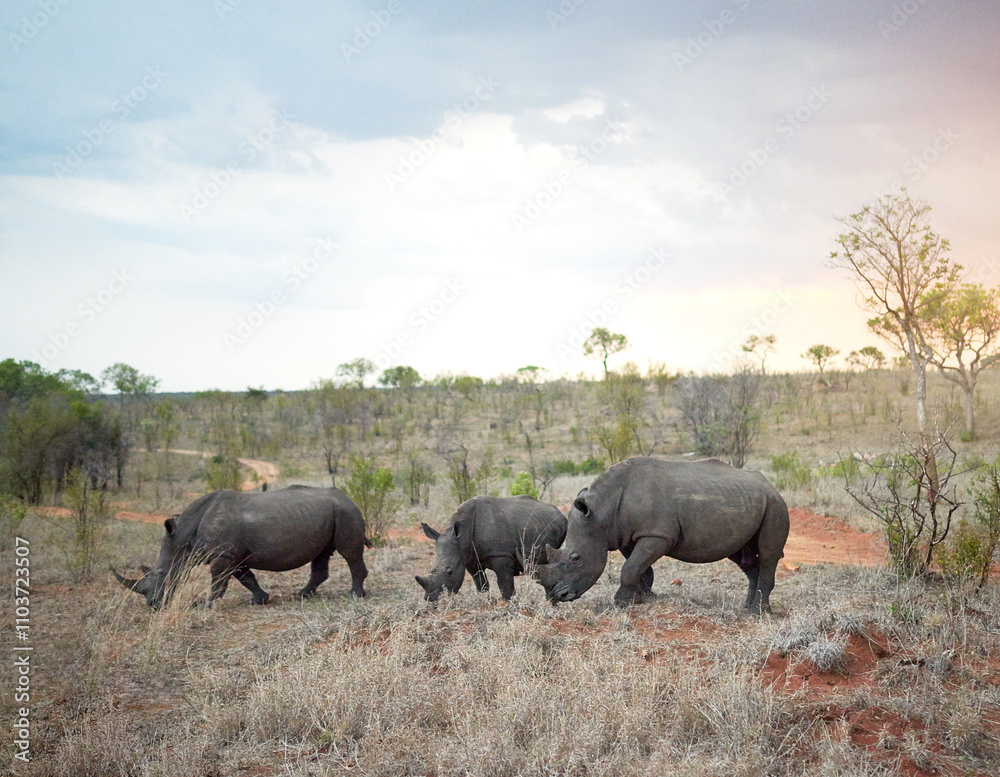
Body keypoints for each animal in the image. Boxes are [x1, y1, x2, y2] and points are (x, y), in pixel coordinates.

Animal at [113, 485, 370, 609]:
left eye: (162, 574)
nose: (153, 605)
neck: (183, 536)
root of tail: (348, 497)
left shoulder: (223, 554)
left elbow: (218, 582)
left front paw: (204, 605)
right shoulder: (231, 555)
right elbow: (245, 578)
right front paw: (260, 600)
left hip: (345, 512)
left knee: (349, 553)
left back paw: (354, 595)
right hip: (330, 513)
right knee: (321, 555)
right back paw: (302, 594)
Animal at [415, 495, 567, 601]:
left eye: (449, 572)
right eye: (432, 570)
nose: (429, 598)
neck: (462, 537)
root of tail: (558, 510)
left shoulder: (500, 554)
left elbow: (505, 585)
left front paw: (508, 603)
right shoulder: (469, 558)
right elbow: (481, 584)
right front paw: (485, 599)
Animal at [535, 457, 789, 612]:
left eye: (576, 558)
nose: (559, 596)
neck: (602, 511)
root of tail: (770, 485)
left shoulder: (659, 535)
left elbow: (631, 568)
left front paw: (621, 602)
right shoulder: (629, 536)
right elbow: (641, 568)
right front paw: (643, 599)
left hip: (775, 504)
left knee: (768, 554)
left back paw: (759, 613)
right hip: (746, 501)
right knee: (743, 557)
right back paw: (746, 608)